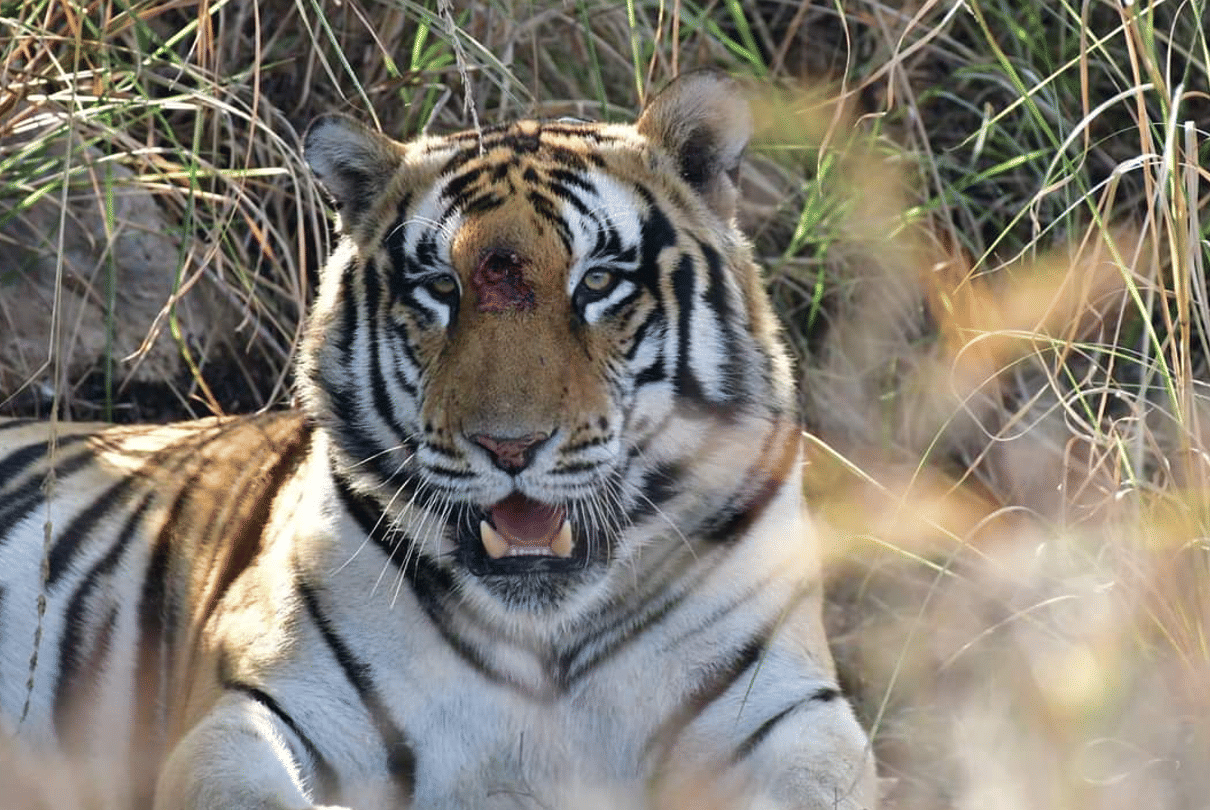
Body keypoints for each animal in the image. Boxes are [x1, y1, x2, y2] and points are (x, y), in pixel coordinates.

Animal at [0, 71, 876, 809]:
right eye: (440, 290)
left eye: (597, 283)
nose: (510, 447)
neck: (546, 642)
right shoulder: (261, 705)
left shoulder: (787, 711)